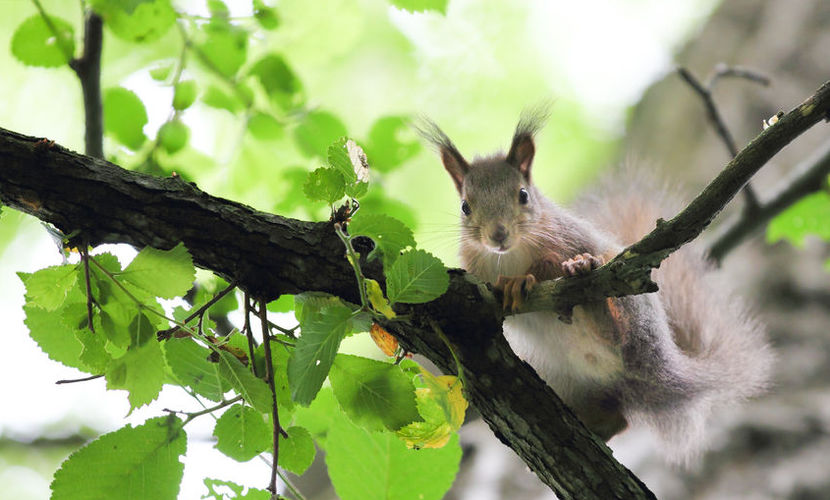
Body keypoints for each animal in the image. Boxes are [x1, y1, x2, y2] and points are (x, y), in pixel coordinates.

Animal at [422, 111, 780, 462]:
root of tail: (662, 365)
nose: (498, 234)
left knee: (615, 329)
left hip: (632, 312)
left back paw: (588, 284)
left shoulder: (568, 237)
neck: (507, 256)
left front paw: (525, 279)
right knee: (617, 419)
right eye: (465, 206)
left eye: (523, 195)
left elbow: (549, 265)